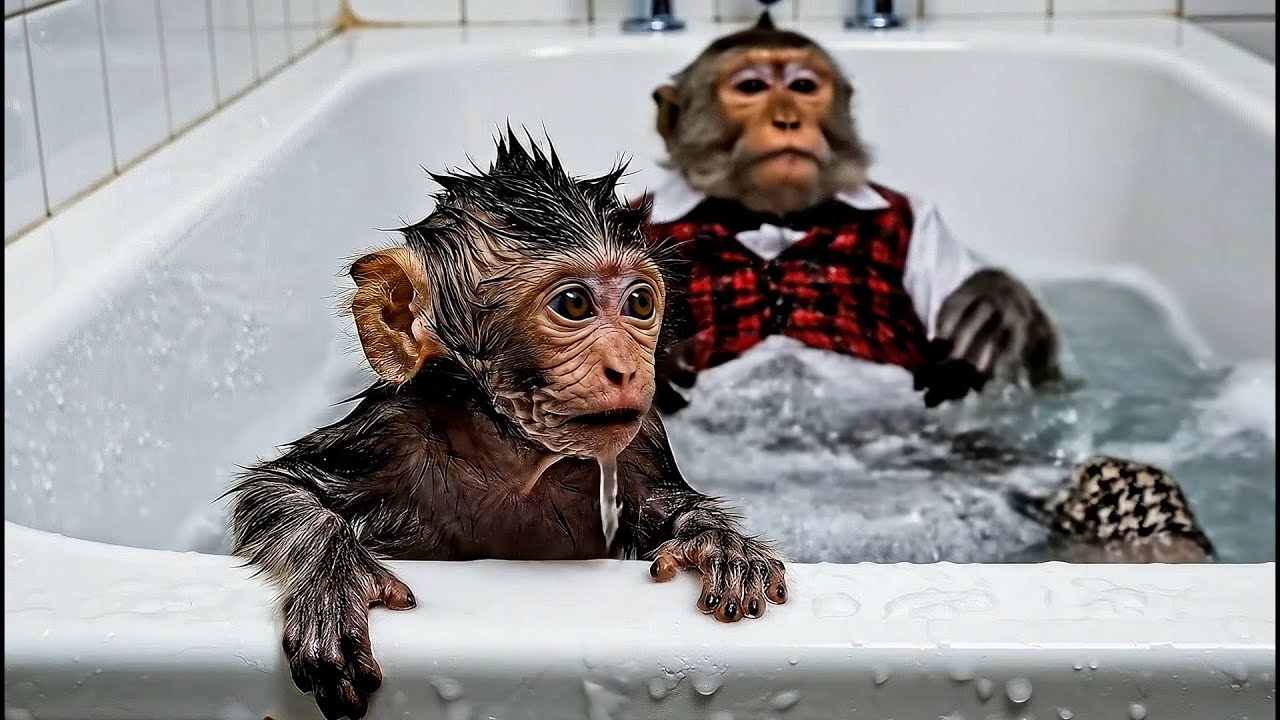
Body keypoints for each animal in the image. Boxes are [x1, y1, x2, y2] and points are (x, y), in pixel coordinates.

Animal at [225, 129, 788, 720]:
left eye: (639, 302)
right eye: (573, 304)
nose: (628, 367)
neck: (513, 456)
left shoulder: (640, 443)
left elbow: (670, 506)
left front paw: (720, 543)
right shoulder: (390, 431)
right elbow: (277, 486)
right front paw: (331, 580)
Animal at [638, 11, 1063, 414]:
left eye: (803, 87)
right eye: (751, 87)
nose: (788, 120)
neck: (772, 216)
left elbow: (1045, 377)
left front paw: (995, 305)